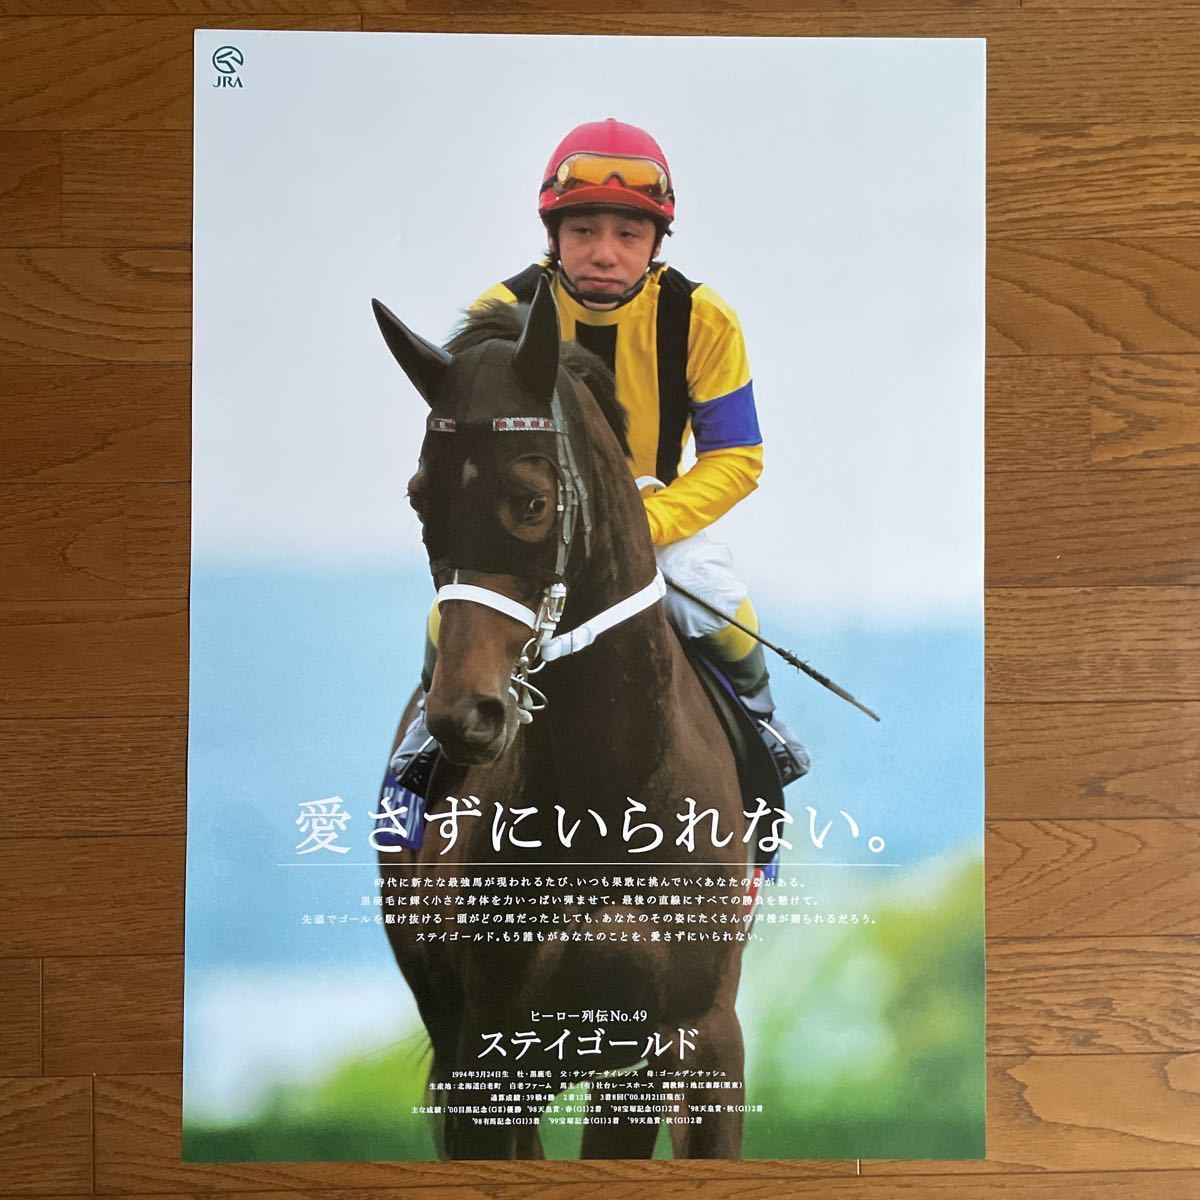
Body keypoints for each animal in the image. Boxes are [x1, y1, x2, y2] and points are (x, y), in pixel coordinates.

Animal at [371, 278, 755, 1160]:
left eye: (532, 499)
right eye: (419, 497)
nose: (465, 714)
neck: (610, 794)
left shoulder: (686, 1033)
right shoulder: (489, 1044)